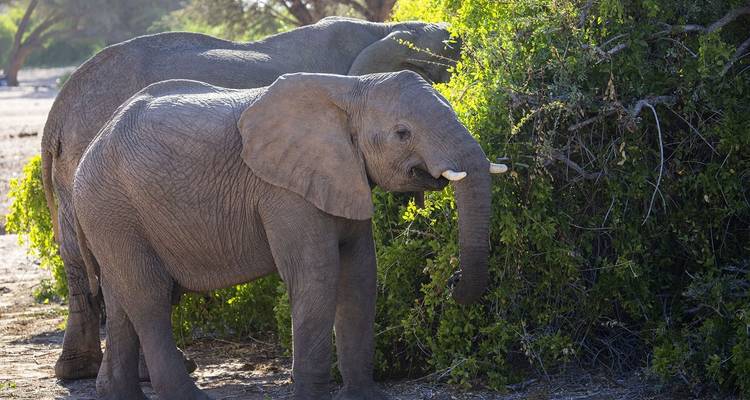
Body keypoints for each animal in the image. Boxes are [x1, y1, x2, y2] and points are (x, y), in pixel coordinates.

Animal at [72, 71, 507, 400]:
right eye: (402, 133)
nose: (452, 282)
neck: (350, 90)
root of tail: (88, 150)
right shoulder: (283, 191)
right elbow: (317, 275)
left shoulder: (344, 176)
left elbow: (361, 273)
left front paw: (364, 396)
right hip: (112, 206)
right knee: (150, 298)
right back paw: (187, 397)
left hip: (113, 214)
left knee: (122, 297)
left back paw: (118, 395)